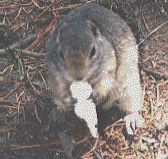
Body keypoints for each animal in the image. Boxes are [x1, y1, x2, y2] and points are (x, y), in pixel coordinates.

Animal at [46, 2, 144, 135]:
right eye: (61, 54)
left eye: (93, 51)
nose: (78, 76)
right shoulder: (54, 72)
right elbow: (60, 87)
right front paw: (67, 99)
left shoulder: (109, 65)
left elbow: (106, 82)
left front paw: (97, 94)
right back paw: (59, 111)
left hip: (129, 88)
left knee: (130, 104)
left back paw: (132, 118)